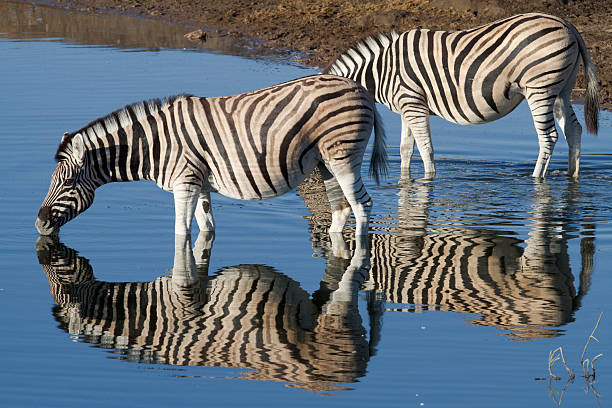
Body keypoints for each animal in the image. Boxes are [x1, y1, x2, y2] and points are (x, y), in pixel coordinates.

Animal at [34, 74, 388, 239]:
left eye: (67, 183)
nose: (38, 224)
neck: (156, 145)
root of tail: (361, 89)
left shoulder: (184, 184)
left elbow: (181, 232)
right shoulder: (201, 184)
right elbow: (206, 229)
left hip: (344, 157)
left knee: (362, 206)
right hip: (325, 163)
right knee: (341, 209)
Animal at [328, 12, 600, 180]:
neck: (383, 70)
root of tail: (568, 25)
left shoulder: (414, 104)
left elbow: (426, 148)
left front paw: (429, 180)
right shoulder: (407, 107)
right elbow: (406, 149)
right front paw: (405, 182)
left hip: (540, 89)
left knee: (548, 137)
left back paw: (535, 179)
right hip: (561, 90)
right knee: (573, 130)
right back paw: (572, 177)